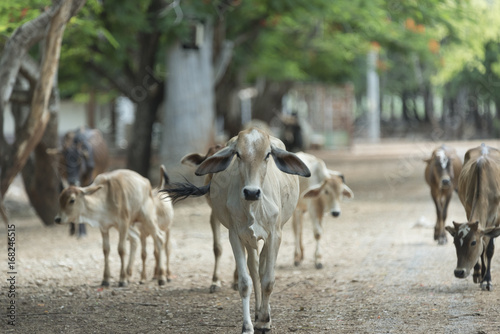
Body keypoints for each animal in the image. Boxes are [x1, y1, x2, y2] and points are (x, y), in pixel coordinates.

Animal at [162, 128, 310, 334]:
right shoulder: (236, 235)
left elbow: (268, 280)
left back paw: (263, 314)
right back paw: (257, 311)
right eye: (238, 154)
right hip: (248, 239)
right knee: (254, 267)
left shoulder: (275, 235)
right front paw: (248, 325)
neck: (253, 205)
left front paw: (264, 321)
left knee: (261, 268)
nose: (251, 192)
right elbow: (245, 282)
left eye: (267, 155)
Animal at [448, 145, 500, 290]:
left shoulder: (496, 219)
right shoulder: (468, 209)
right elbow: (483, 248)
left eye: (473, 242)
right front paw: (479, 274)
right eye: (454, 242)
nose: (459, 272)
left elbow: (489, 249)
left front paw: (487, 280)